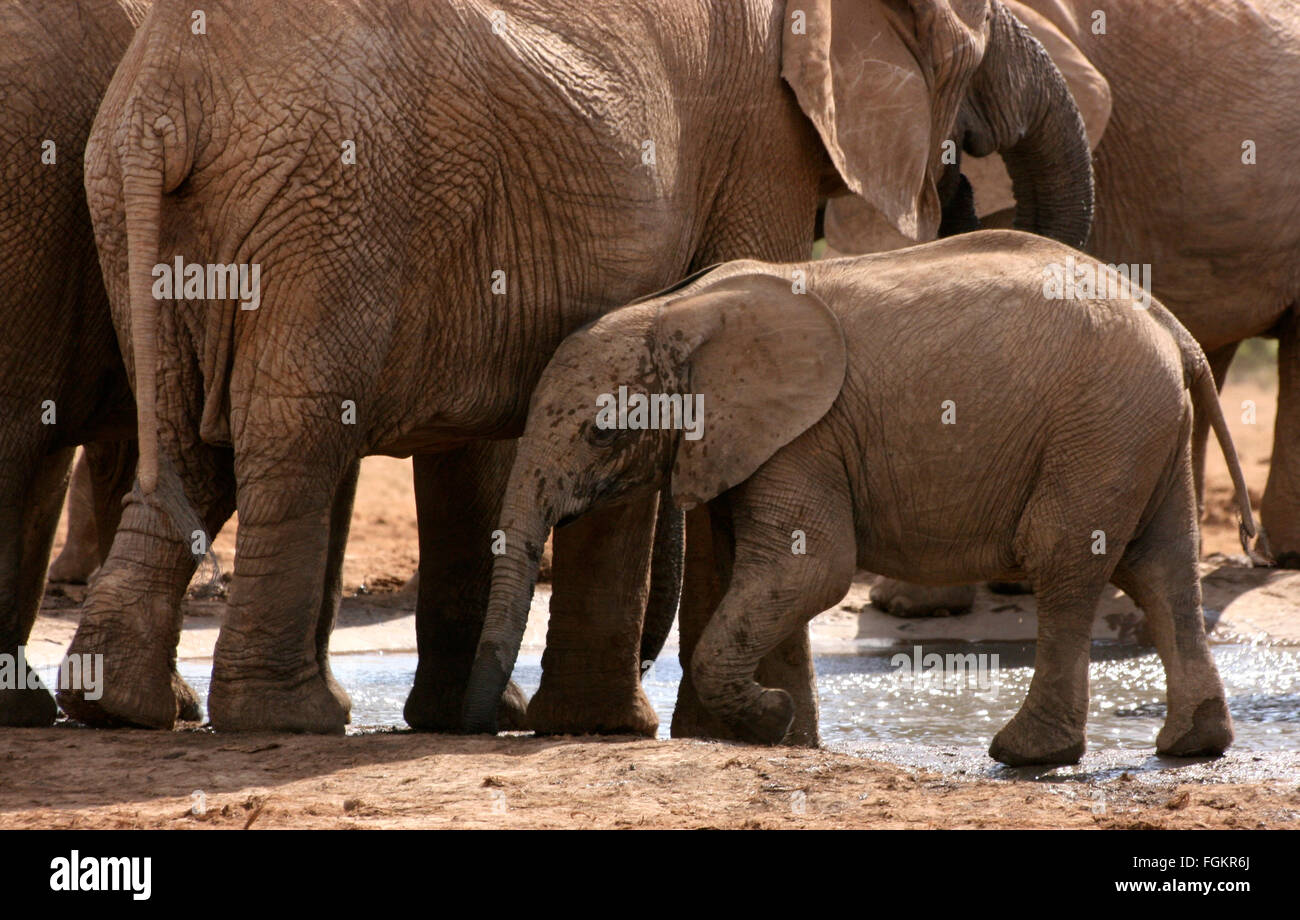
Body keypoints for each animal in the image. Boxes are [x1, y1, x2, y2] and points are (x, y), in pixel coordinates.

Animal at [61, 0, 1093, 735]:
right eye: (973, 40)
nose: (967, 194)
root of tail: (163, 99)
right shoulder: (762, 134)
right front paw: (722, 732)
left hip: (159, 209)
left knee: (190, 443)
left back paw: (126, 709)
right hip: (331, 198)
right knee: (295, 436)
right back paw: (288, 718)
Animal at [462, 231, 1254, 765]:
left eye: (600, 433)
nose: (492, 719)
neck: (681, 310)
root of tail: (1167, 322)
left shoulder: (804, 436)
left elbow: (809, 571)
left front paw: (770, 718)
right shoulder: (758, 439)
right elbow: (774, 577)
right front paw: (787, 735)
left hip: (1099, 425)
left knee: (1065, 560)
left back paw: (1024, 755)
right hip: (1135, 426)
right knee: (1161, 569)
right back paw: (1193, 744)